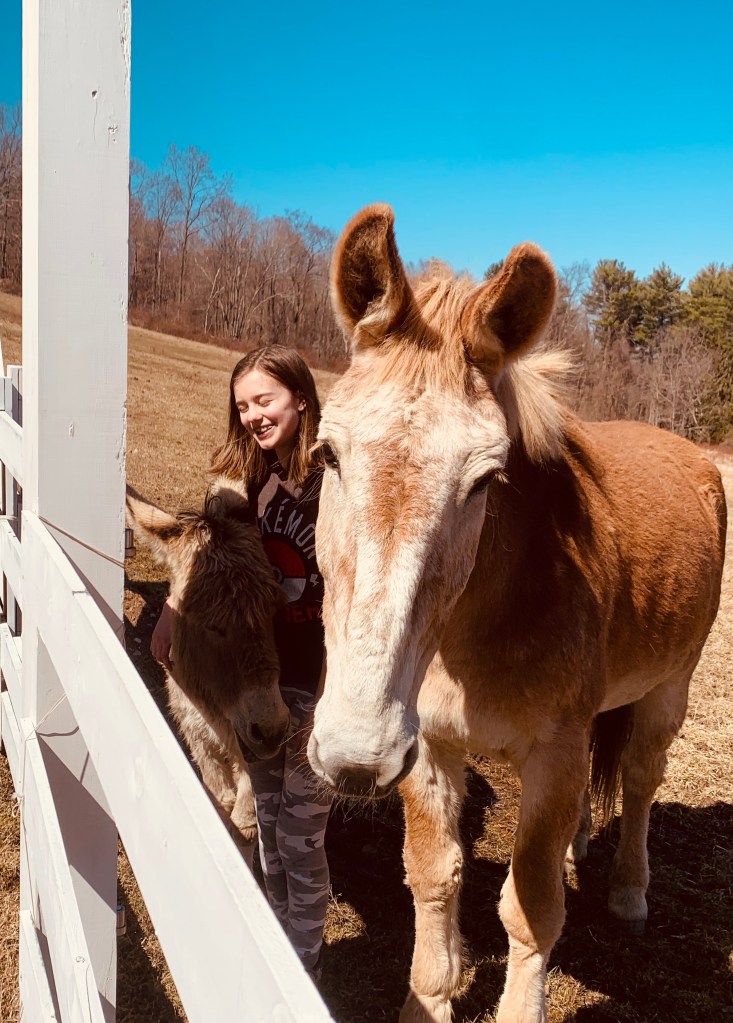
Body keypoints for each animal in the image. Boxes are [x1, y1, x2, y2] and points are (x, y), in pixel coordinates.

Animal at [126, 482, 288, 862]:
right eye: (210, 624)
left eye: (274, 609)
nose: (271, 730)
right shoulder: (198, 735)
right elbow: (220, 806)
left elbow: (244, 823)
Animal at [307, 204, 727, 1023]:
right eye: (327, 454)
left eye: (484, 479)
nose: (355, 753)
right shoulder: (430, 746)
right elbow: (434, 874)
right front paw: (430, 996)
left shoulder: (554, 752)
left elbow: (529, 908)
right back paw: (578, 846)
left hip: (669, 689)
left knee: (639, 779)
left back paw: (629, 893)